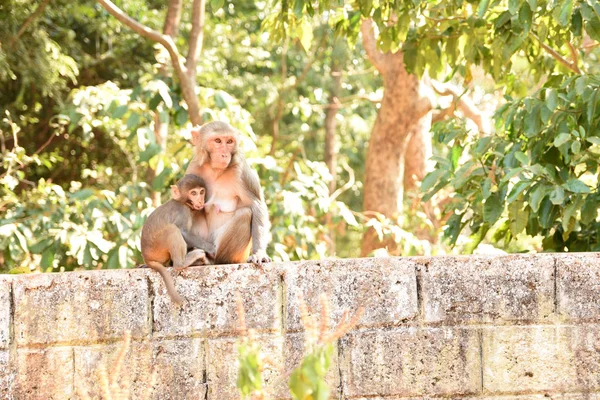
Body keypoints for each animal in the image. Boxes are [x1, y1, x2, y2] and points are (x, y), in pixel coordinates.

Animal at [141, 174, 216, 304]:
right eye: (193, 193)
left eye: (201, 191)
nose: (200, 200)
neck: (183, 203)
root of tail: (147, 258)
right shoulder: (182, 212)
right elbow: (183, 231)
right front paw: (211, 248)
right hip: (156, 248)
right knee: (172, 229)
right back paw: (181, 263)